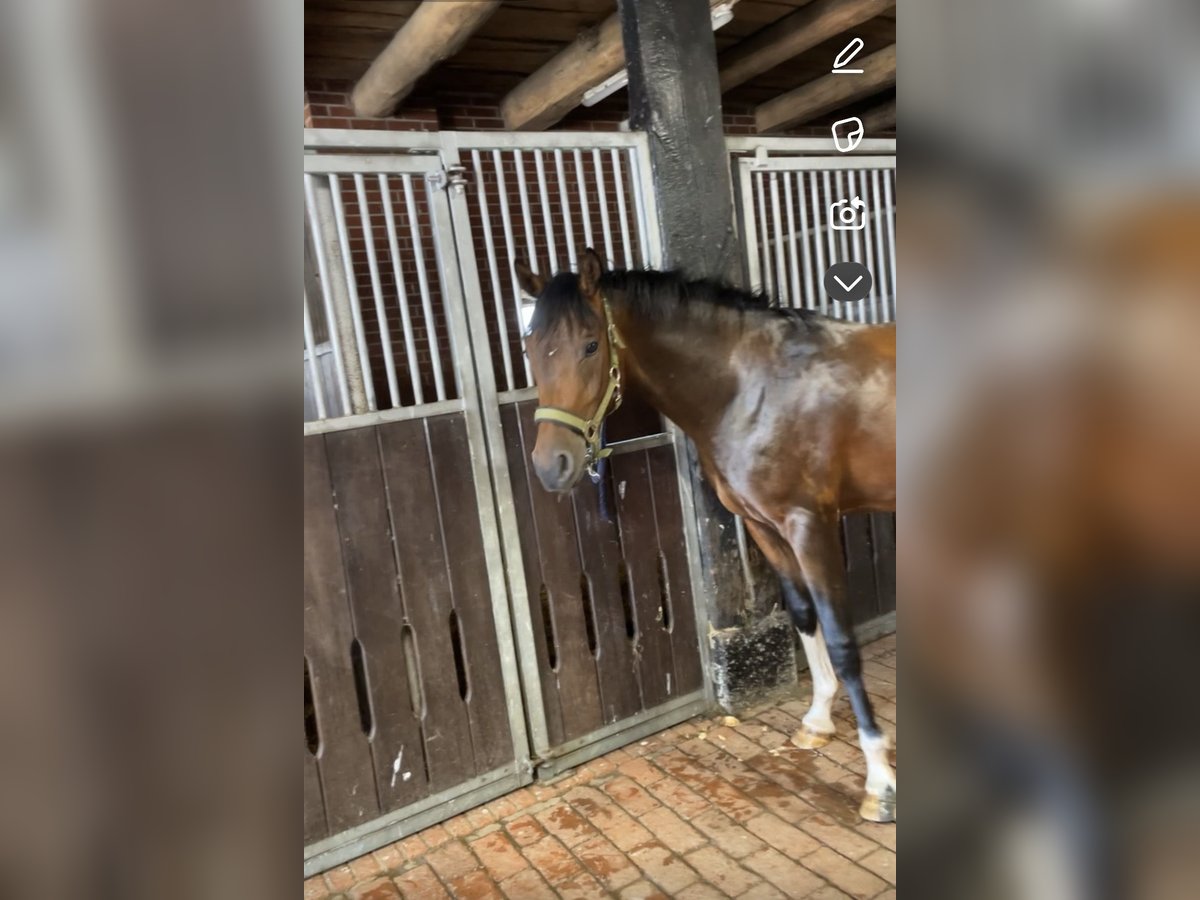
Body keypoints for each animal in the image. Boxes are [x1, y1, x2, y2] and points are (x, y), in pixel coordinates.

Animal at [514, 247, 898, 822]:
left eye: (591, 344)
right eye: (531, 348)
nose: (550, 466)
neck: (751, 389)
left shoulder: (809, 525)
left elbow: (841, 640)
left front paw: (879, 779)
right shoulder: (764, 526)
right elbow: (802, 616)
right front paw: (817, 720)